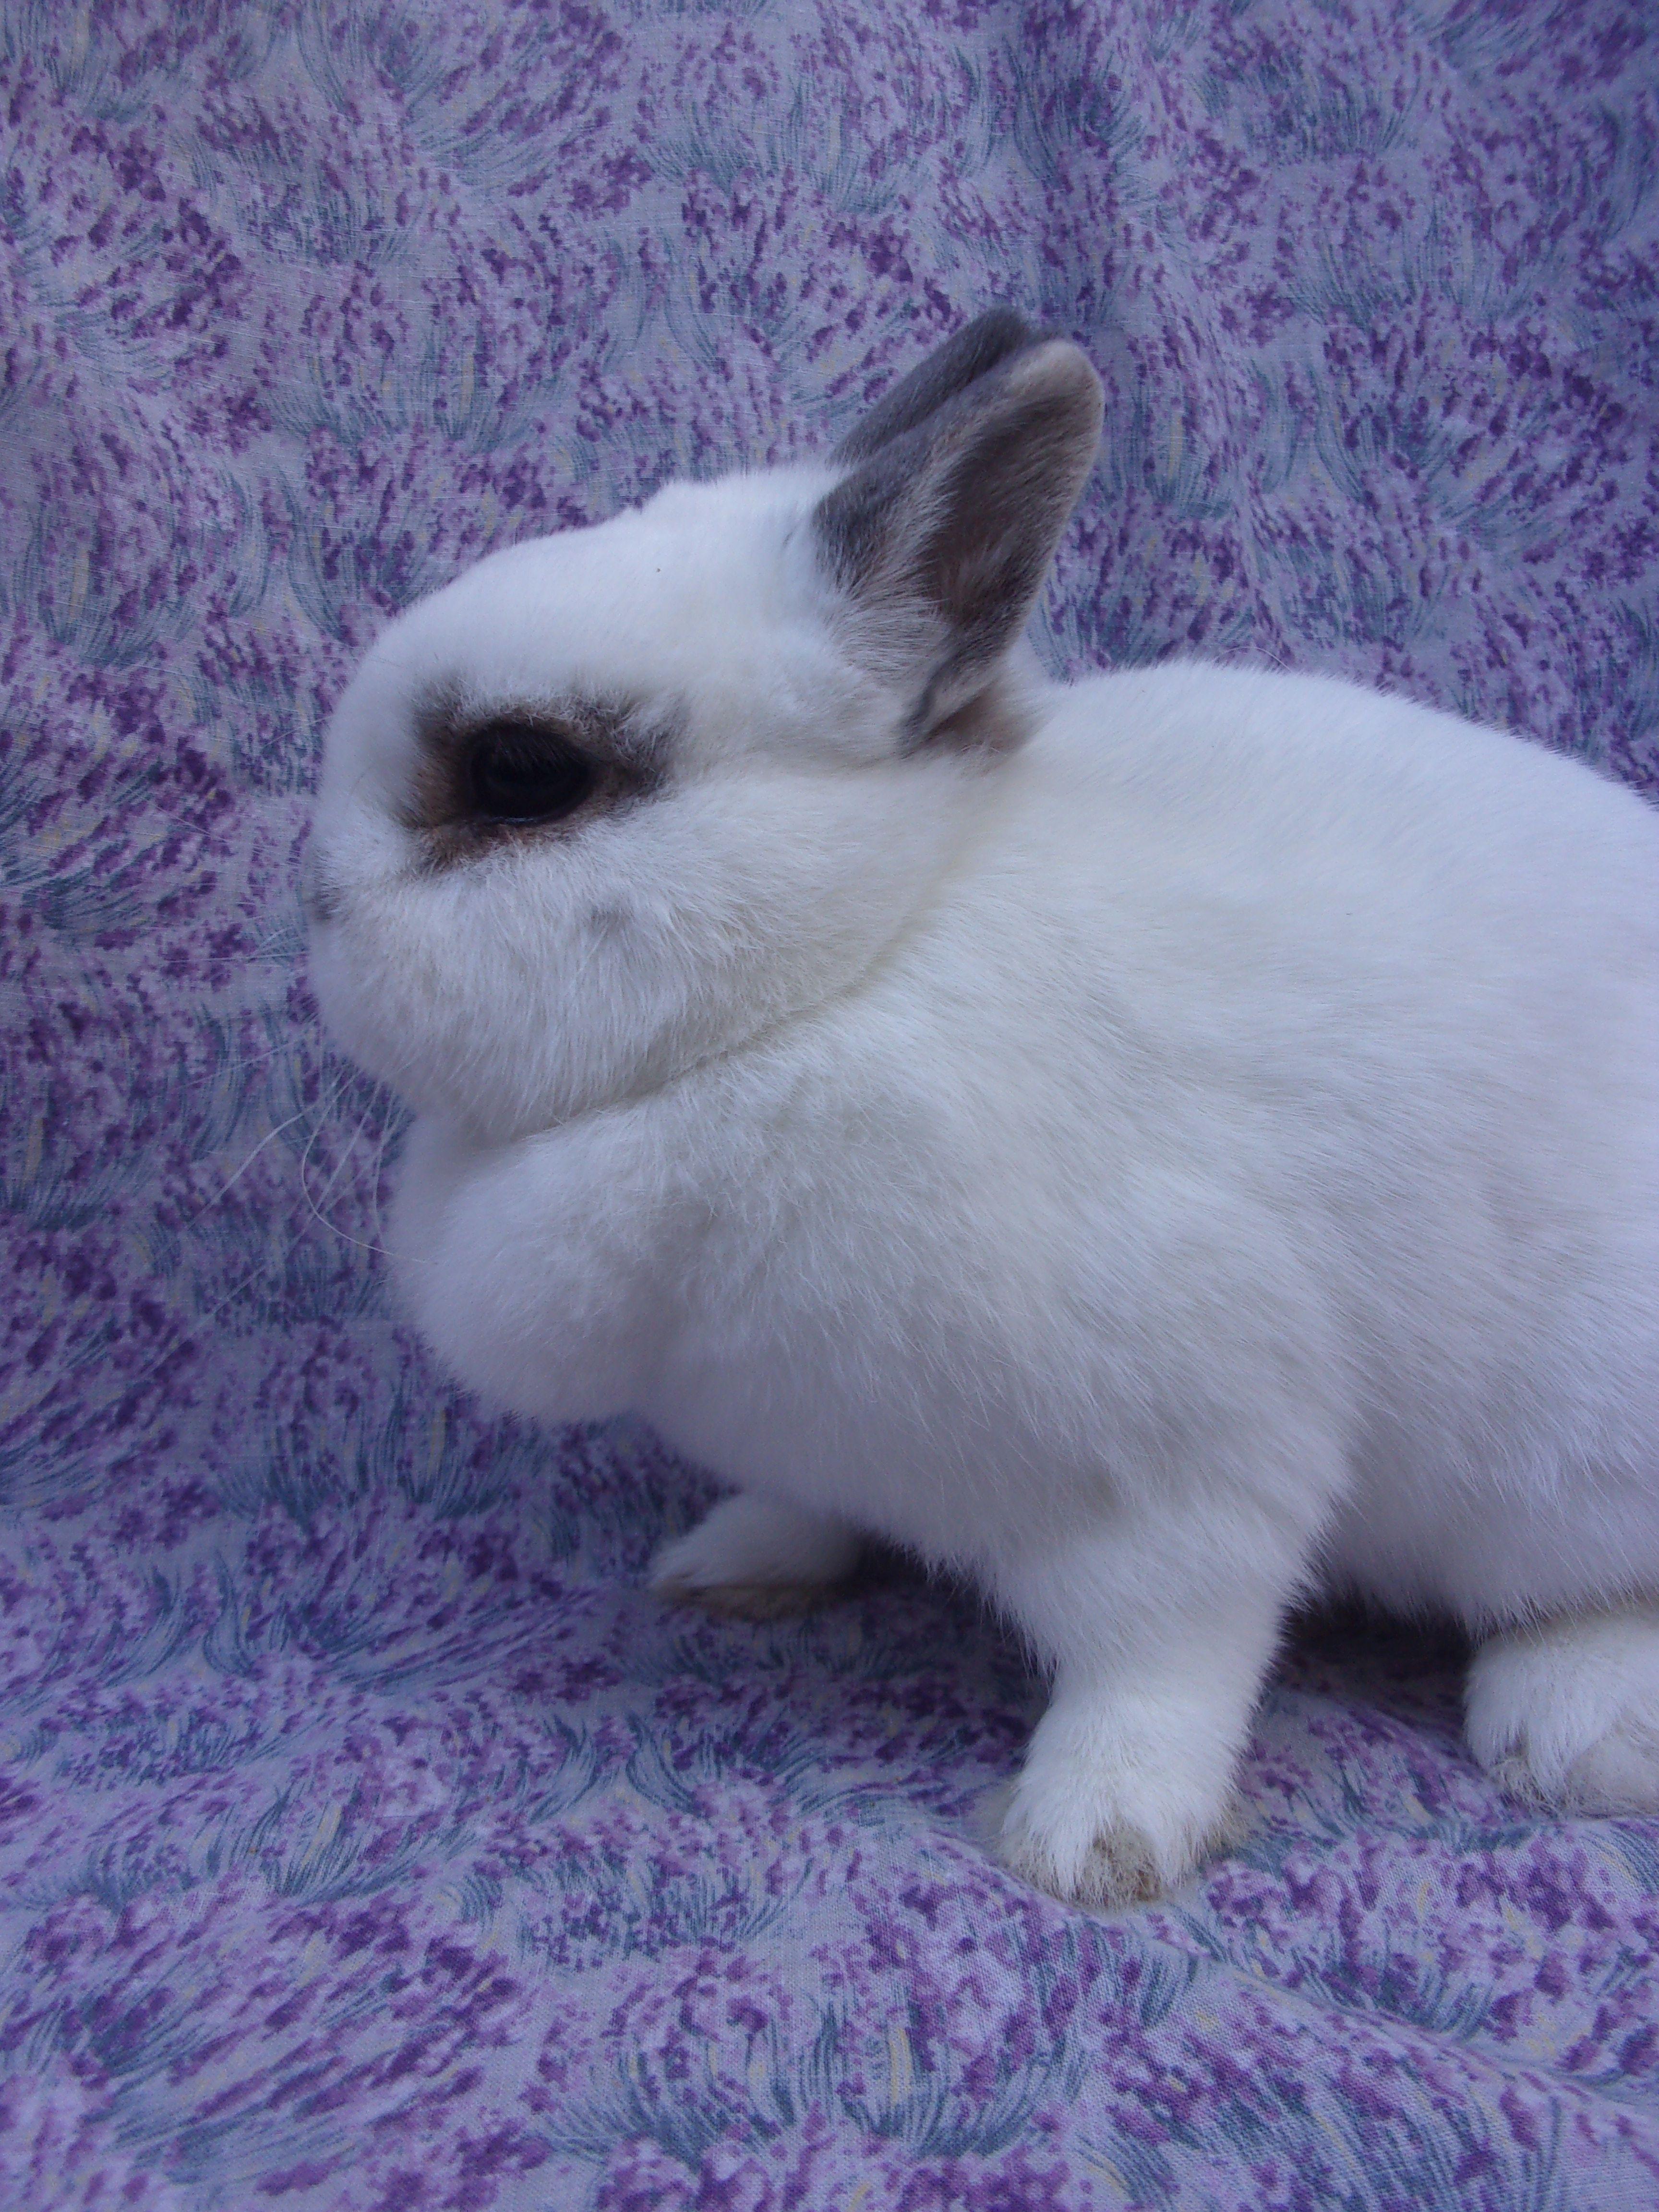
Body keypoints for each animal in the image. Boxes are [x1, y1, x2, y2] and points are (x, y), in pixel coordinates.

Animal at [306, 308, 1659, 1906]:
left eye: (525, 772)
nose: (317, 911)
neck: (848, 966)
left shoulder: (1188, 1459)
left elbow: (1166, 1661)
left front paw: (1093, 1838)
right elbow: (813, 1503)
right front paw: (731, 1565)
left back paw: (1574, 1723)